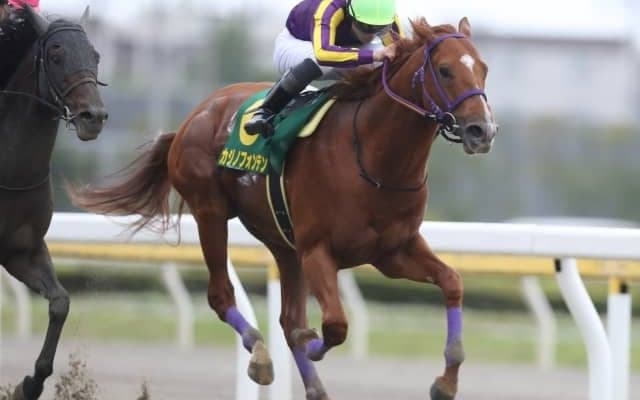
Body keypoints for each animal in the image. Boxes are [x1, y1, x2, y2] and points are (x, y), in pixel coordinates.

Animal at [0, 6, 107, 400]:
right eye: (57, 55)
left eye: (95, 56)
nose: (94, 116)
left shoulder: (22, 249)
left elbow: (60, 303)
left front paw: (29, 384)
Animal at [71, 17, 496, 400]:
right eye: (445, 70)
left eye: (484, 68)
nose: (483, 131)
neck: (374, 158)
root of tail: (193, 117)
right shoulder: (318, 250)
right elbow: (334, 325)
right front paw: (309, 341)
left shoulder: (392, 251)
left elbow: (452, 282)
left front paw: (446, 383)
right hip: (211, 213)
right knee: (222, 296)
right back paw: (261, 356)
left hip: (282, 243)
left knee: (286, 315)